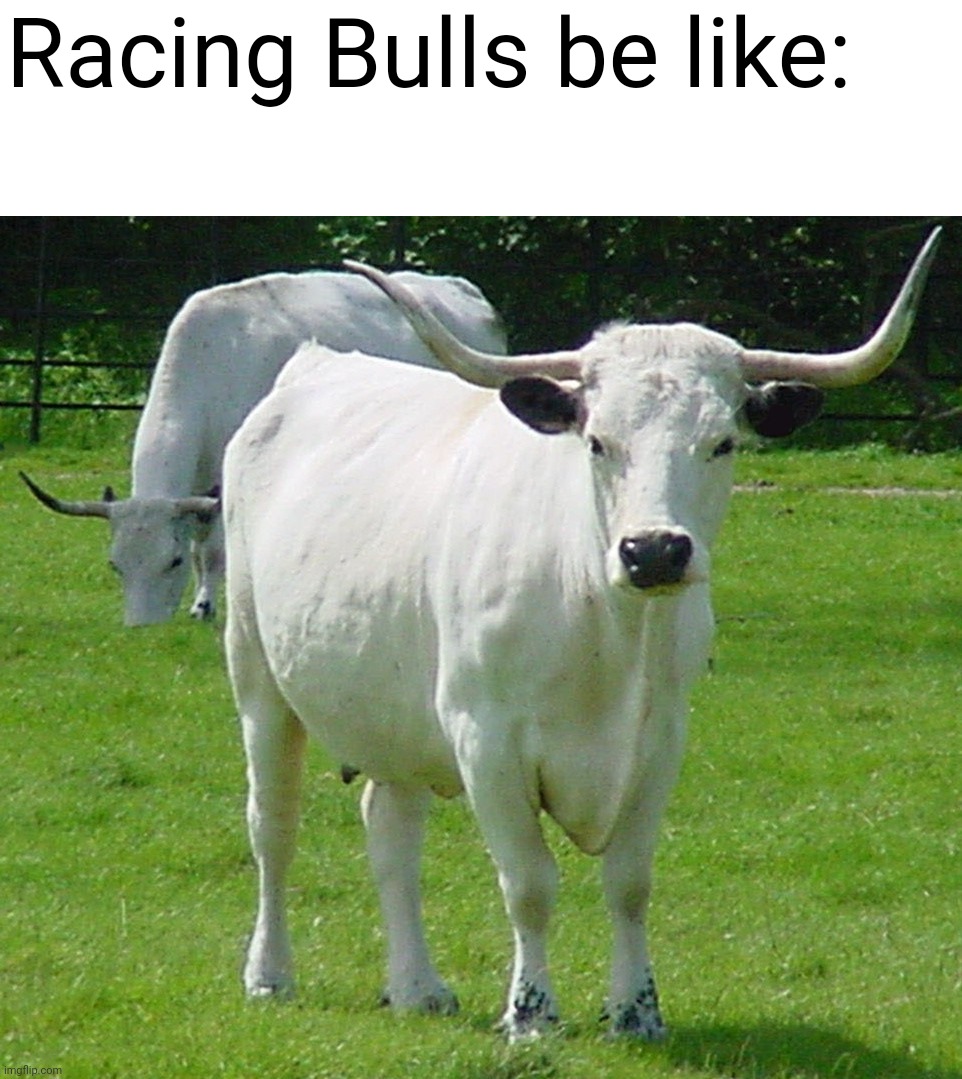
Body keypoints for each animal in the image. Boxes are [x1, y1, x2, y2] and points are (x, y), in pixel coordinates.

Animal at [19, 268, 506, 626]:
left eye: (171, 562)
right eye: (116, 564)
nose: (142, 628)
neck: (212, 363)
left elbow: (211, 550)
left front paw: (204, 606)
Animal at [222, 229, 939, 1041]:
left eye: (722, 442)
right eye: (597, 441)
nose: (654, 550)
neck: (606, 631)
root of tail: (314, 366)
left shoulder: (660, 741)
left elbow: (629, 882)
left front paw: (636, 1011)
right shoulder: (486, 738)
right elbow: (529, 883)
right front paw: (531, 1013)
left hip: (392, 711)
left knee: (391, 829)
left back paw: (417, 986)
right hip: (258, 679)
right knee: (273, 824)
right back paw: (270, 974)